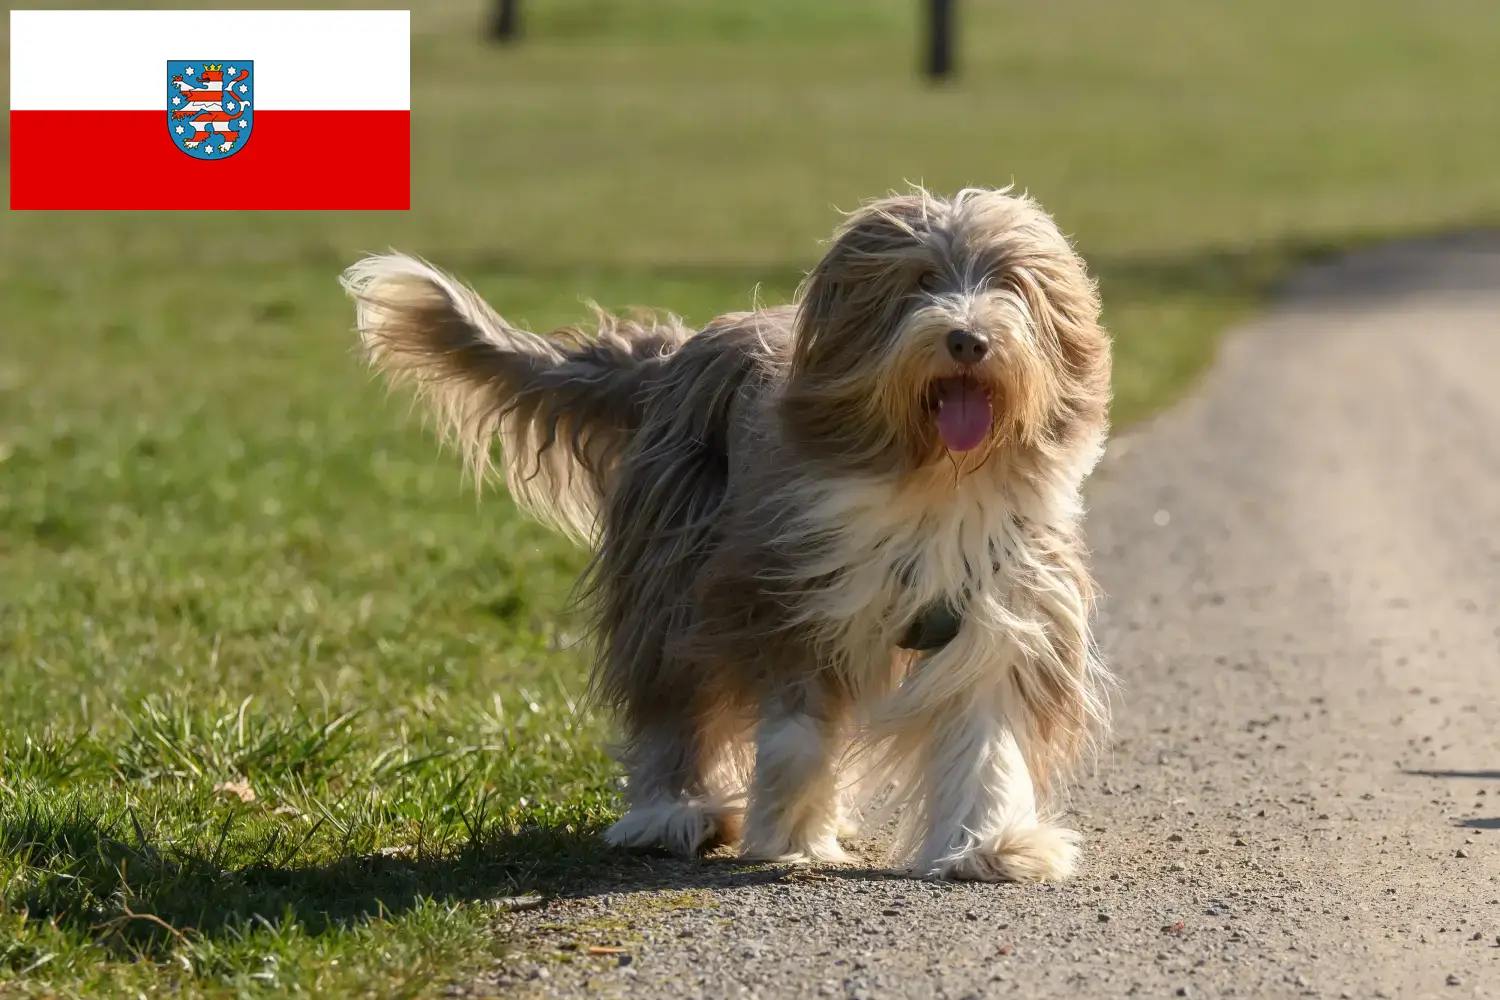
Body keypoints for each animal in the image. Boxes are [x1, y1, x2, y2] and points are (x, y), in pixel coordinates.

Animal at [343, 183, 1116, 881]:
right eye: (921, 281)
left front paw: (989, 844)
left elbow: (986, 732)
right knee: (671, 700)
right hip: (671, 573)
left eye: (1009, 285)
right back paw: (672, 813)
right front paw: (789, 831)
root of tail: (673, 353)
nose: (967, 339)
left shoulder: (1002, 606)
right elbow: (795, 731)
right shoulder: (779, 589)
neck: (931, 483)